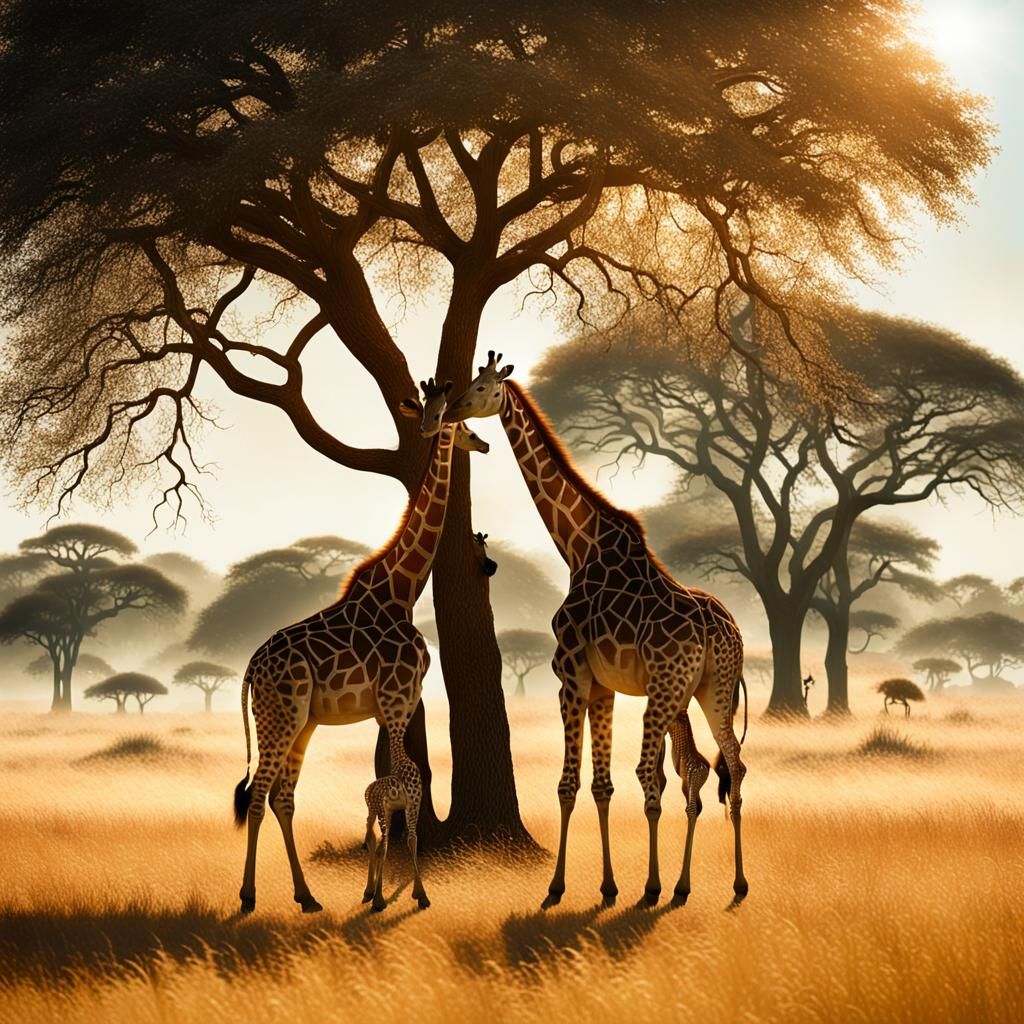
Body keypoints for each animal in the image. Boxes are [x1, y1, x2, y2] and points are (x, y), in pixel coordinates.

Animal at [232, 380, 484, 915]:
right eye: (462, 424)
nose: (484, 443)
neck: (402, 589)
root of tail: (250, 669)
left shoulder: (394, 705)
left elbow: (394, 783)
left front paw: (383, 890)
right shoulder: (396, 699)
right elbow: (400, 784)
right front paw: (398, 892)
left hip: (303, 721)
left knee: (284, 795)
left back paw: (307, 896)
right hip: (280, 716)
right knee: (260, 793)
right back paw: (248, 895)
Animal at [444, 353, 749, 909]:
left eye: (482, 388)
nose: (451, 408)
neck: (577, 544)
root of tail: (722, 633)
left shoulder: (570, 674)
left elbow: (569, 784)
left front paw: (557, 886)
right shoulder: (603, 685)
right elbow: (600, 785)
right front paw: (606, 886)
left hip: (665, 689)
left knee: (657, 773)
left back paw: (656, 886)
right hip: (712, 689)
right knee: (728, 765)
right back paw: (729, 882)